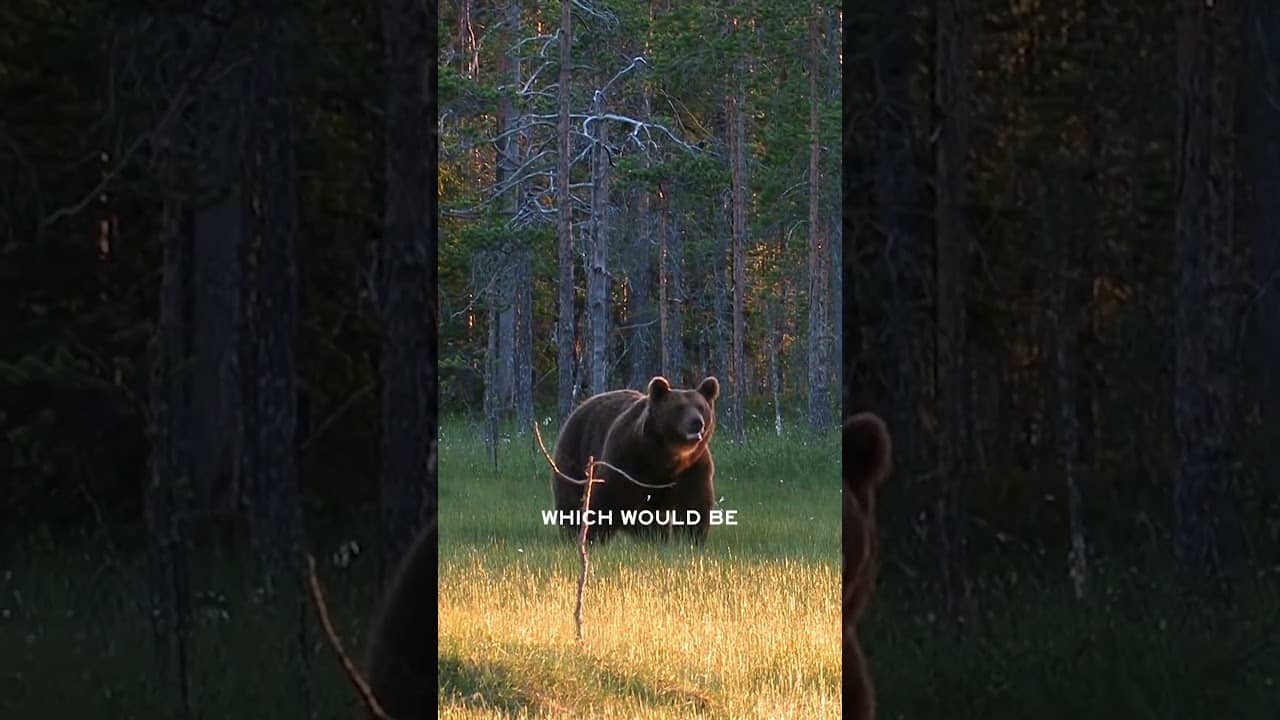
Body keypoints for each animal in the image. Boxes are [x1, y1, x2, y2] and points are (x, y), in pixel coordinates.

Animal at [551, 376, 719, 543]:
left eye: (701, 407)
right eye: (679, 407)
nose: (697, 422)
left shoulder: (693, 468)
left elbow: (694, 505)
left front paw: (691, 538)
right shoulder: (626, 458)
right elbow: (607, 499)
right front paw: (592, 536)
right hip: (575, 451)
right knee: (570, 498)